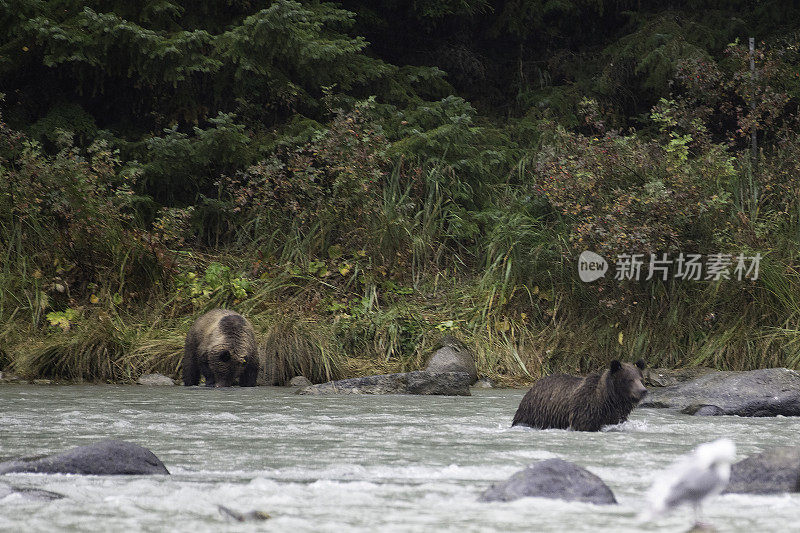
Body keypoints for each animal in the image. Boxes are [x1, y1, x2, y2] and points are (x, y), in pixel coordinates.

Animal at [512, 360, 648, 430]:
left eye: (641, 379)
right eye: (630, 379)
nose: (643, 390)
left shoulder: (615, 416)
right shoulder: (585, 411)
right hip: (534, 413)